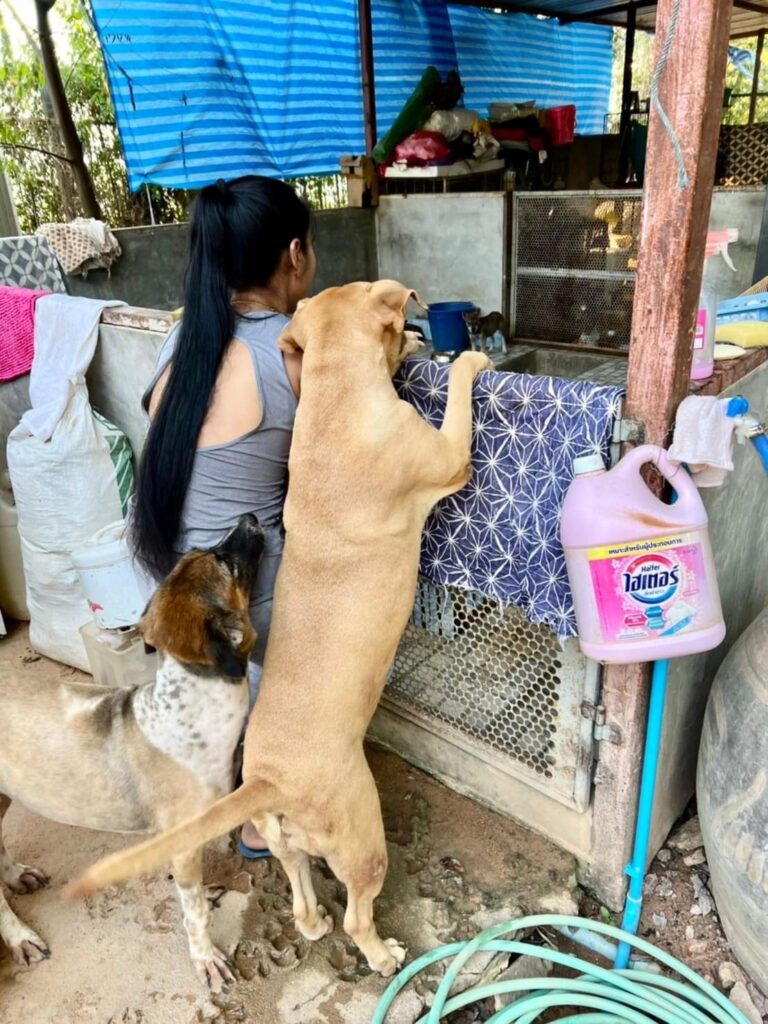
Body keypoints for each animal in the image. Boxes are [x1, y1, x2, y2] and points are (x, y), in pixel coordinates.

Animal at [0, 516, 264, 987]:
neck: (192, 705)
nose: (249, 518)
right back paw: (19, 936)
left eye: (205, 550)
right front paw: (204, 956)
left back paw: (16, 875)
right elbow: (195, 913)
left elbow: (191, 892)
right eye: (224, 560)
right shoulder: (184, 840)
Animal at [67, 280, 493, 974]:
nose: (420, 335)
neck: (334, 399)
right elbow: (456, 397)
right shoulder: (449, 456)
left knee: (301, 896)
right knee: (355, 914)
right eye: (399, 319)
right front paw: (469, 361)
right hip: (363, 838)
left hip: (287, 839)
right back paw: (383, 954)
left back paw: (312, 921)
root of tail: (267, 779)